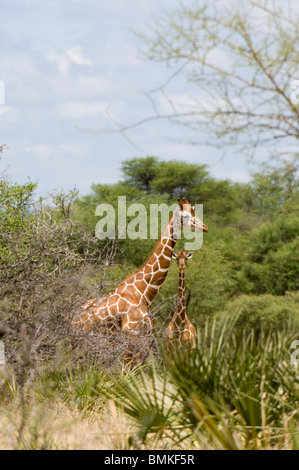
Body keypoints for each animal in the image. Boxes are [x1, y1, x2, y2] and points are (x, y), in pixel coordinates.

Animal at [70, 197, 207, 364]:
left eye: (195, 211)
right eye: (186, 216)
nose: (205, 227)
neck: (143, 291)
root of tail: (70, 319)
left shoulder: (143, 341)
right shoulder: (133, 338)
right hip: (81, 344)